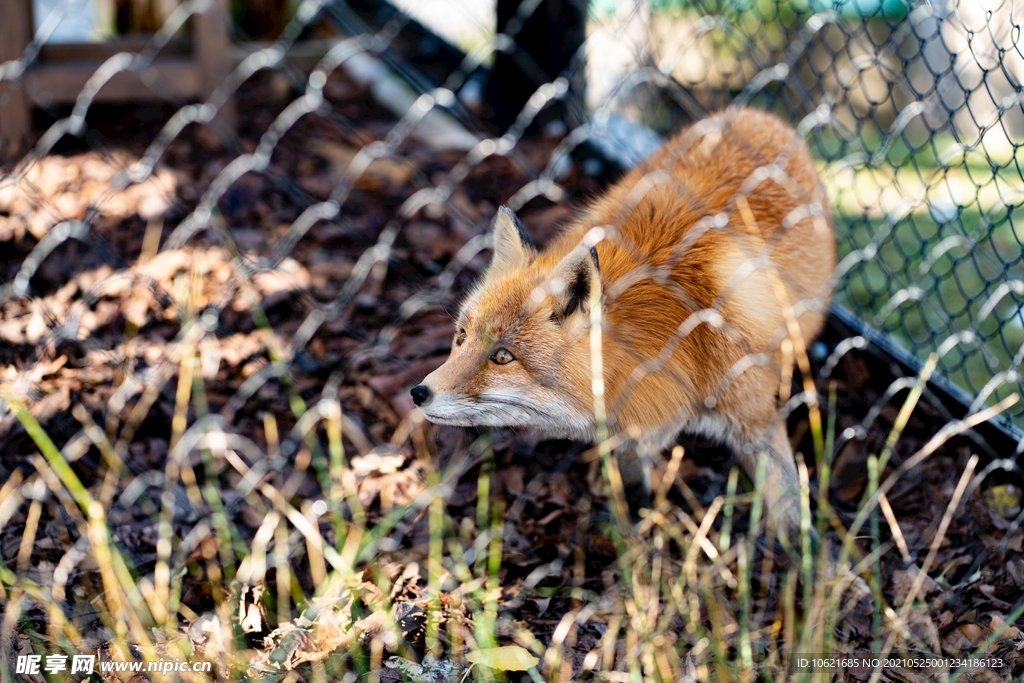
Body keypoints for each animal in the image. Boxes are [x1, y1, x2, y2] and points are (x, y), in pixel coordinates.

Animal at [407, 107, 831, 544]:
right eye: (461, 338)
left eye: (503, 357)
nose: (418, 393)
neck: (676, 340)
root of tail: (756, 114)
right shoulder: (631, 429)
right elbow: (631, 481)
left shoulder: (754, 413)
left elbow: (787, 499)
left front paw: (800, 558)